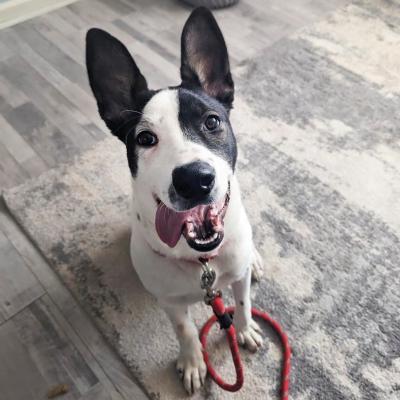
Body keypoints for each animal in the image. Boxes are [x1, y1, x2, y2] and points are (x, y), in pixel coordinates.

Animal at [86, 6, 264, 394]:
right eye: (145, 138)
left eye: (212, 121)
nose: (194, 179)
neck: (203, 262)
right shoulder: (169, 300)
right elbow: (184, 330)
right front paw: (194, 361)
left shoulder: (236, 275)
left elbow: (243, 302)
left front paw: (244, 330)